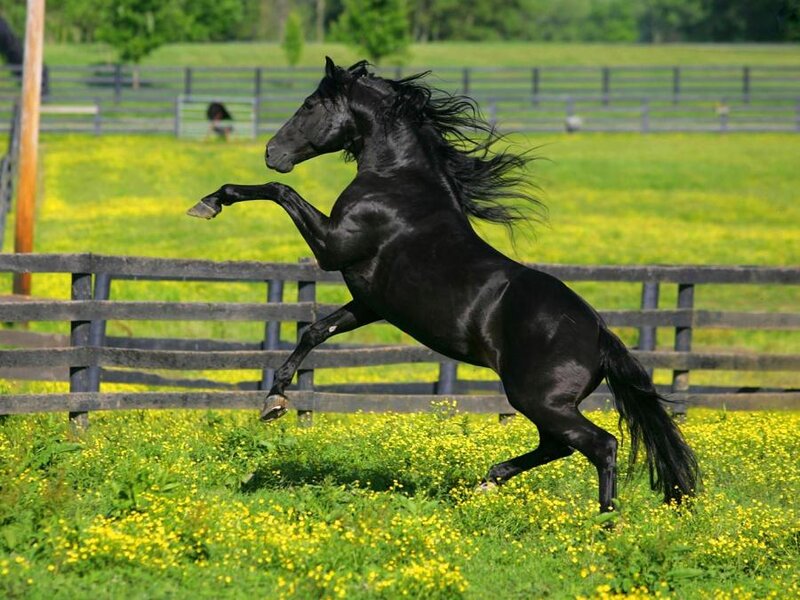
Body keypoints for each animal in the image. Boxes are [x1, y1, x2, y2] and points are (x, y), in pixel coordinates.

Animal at [188, 57, 699, 513]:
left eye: (311, 103)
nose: (272, 153)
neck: (397, 183)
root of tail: (600, 334)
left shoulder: (332, 247)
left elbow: (280, 193)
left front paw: (210, 202)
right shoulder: (369, 302)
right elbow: (315, 330)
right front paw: (274, 399)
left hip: (539, 399)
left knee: (601, 445)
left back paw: (605, 525)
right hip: (543, 403)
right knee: (558, 446)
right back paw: (490, 480)